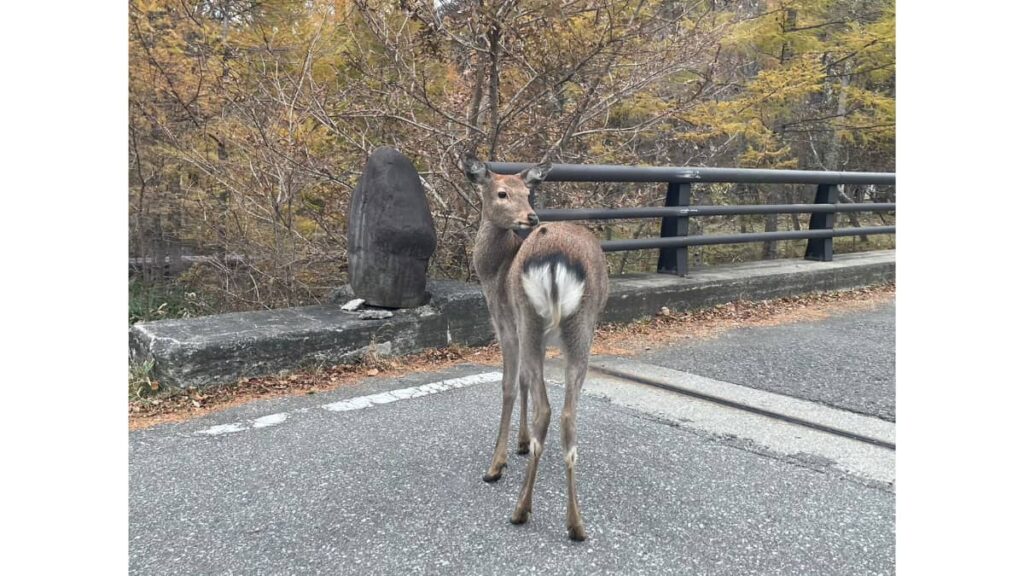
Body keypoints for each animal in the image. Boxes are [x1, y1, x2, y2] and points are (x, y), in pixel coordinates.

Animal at [464, 152, 606, 537]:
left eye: (527, 193)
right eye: (502, 193)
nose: (532, 216)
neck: (494, 272)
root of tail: (556, 262)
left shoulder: (505, 324)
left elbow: (510, 385)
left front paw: (496, 464)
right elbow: (526, 381)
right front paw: (522, 443)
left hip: (530, 319)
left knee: (547, 408)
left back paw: (521, 509)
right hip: (582, 328)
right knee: (569, 415)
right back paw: (576, 524)